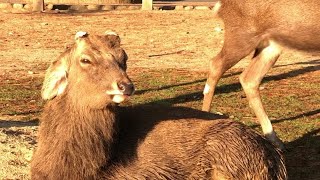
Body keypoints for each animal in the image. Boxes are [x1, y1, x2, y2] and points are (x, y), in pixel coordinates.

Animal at [204, 0, 320, 149]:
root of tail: (221, 4)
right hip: (243, 34)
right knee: (216, 65)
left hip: (270, 45)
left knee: (248, 78)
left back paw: (275, 140)